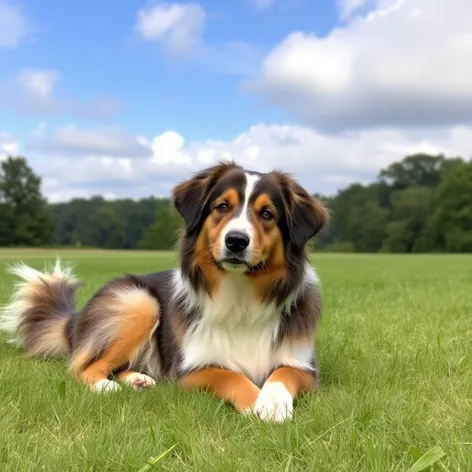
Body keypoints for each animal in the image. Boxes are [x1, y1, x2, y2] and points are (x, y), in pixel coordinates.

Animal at [0, 162, 328, 424]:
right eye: (222, 206)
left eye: (267, 214)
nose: (236, 241)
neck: (241, 295)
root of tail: (75, 319)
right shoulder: (191, 370)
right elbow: (230, 374)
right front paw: (254, 401)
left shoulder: (305, 365)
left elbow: (282, 373)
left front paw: (271, 402)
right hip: (138, 301)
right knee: (83, 367)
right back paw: (107, 386)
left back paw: (138, 380)